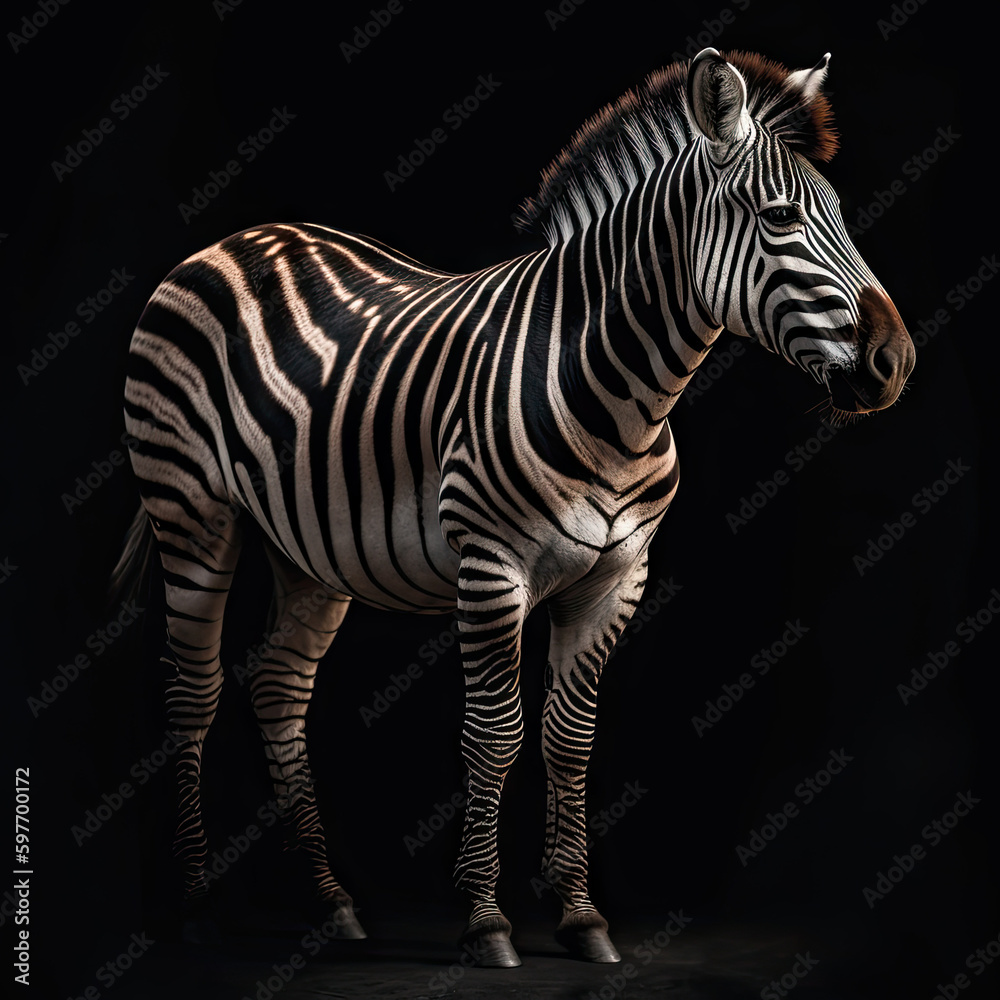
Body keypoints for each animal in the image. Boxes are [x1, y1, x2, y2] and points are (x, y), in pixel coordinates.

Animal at [111, 48, 915, 967]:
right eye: (781, 217)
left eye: (842, 216)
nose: (897, 362)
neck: (621, 399)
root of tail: (233, 239)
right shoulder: (491, 569)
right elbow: (495, 734)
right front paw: (487, 920)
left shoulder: (618, 578)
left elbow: (570, 738)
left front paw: (581, 915)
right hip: (191, 509)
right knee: (192, 689)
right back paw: (196, 905)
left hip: (306, 543)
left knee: (278, 686)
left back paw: (332, 904)